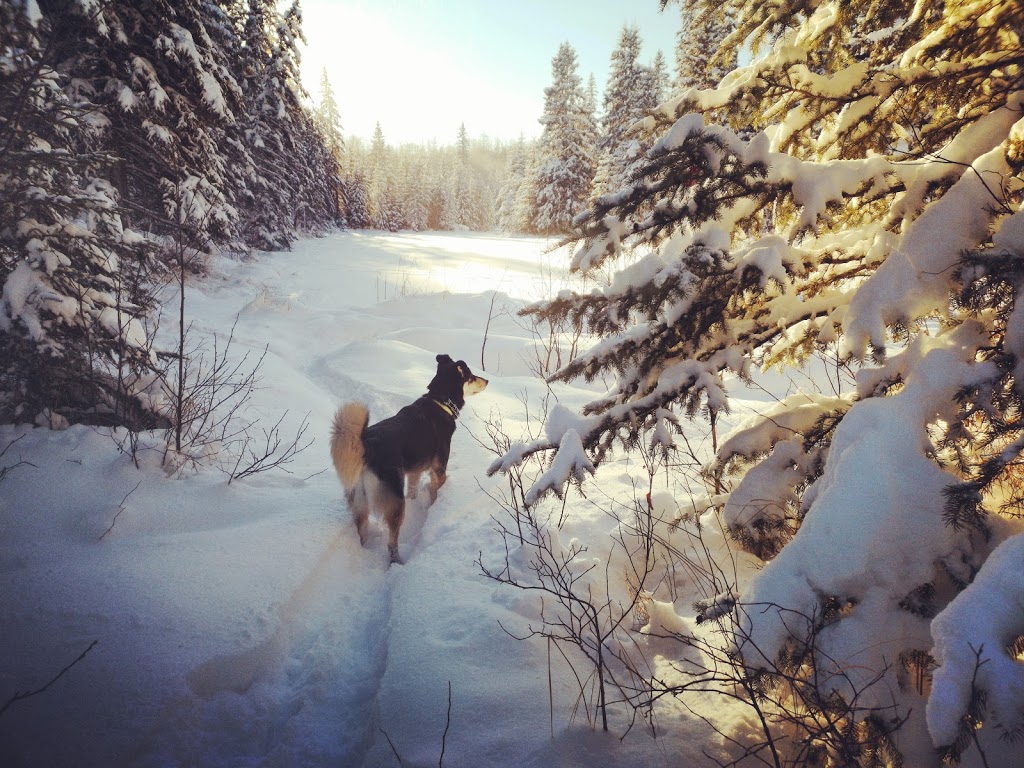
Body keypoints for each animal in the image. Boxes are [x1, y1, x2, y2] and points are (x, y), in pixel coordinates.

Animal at [327, 354, 487, 565]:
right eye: (471, 375)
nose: (487, 381)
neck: (440, 401)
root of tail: (366, 448)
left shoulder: (414, 473)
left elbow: (413, 491)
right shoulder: (439, 469)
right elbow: (437, 490)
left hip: (360, 500)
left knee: (362, 531)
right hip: (395, 502)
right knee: (391, 542)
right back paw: (397, 561)